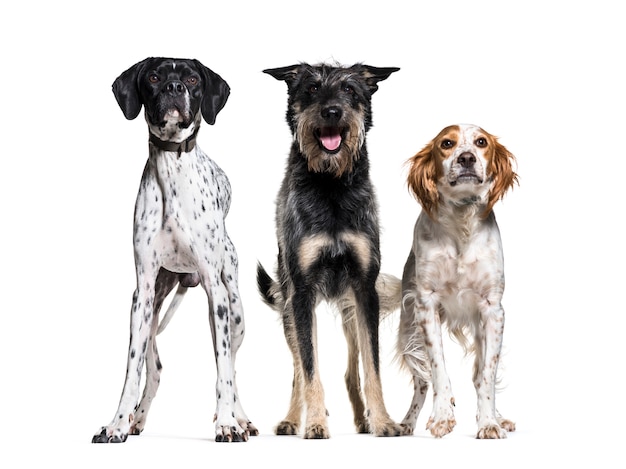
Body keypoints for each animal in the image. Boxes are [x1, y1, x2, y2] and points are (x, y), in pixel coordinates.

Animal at [91, 57, 256, 442]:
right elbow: (132, 372)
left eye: (193, 79)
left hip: (234, 311)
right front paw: (117, 423)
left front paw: (227, 423)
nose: (174, 87)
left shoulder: (216, 293)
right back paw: (137, 419)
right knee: (155, 369)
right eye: (153, 76)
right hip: (150, 311)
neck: (172, 169)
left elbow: (224, 372)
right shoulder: (143, 293)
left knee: (232, 367)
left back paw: (240, 418)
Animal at [256, 62, 402, 438]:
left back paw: (363, 420)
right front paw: (315, 423)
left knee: (352, 369)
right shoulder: (302, 295)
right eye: (311, 88)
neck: (331, 185)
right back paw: (294, 418)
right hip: (290, 308)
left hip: (350, 312)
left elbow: (373, 368)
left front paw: (383, 421)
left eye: (350, 89)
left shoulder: (365, 291)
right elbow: (308, 370)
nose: (332, 111)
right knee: (298, 368)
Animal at [398, 122, 516, 436]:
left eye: (481, 142)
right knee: (422, 382)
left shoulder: (492, 310)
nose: (466, 158)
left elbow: (487, 376)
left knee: (478, 374)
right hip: (408, 332)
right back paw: (407, 423)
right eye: (447, 144)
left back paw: (498, 417)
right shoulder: (426, 306)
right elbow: (438, 369)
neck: (462, 221)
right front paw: (441, 416)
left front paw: (489, 422)